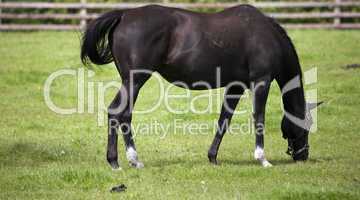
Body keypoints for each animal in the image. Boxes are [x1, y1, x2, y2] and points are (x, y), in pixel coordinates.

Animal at [81, 4, 320, 169]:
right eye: (306, 125)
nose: (302, 155)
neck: (267, 35)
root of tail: (124, 15)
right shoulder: (261, 82)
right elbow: (259, 118)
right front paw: (262, 159)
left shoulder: (236, 86)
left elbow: (224, 119)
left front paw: (212, 157)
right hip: (135, 81)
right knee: (119, 113)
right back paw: (124, 160)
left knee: (120, 114)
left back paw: (123, 160)